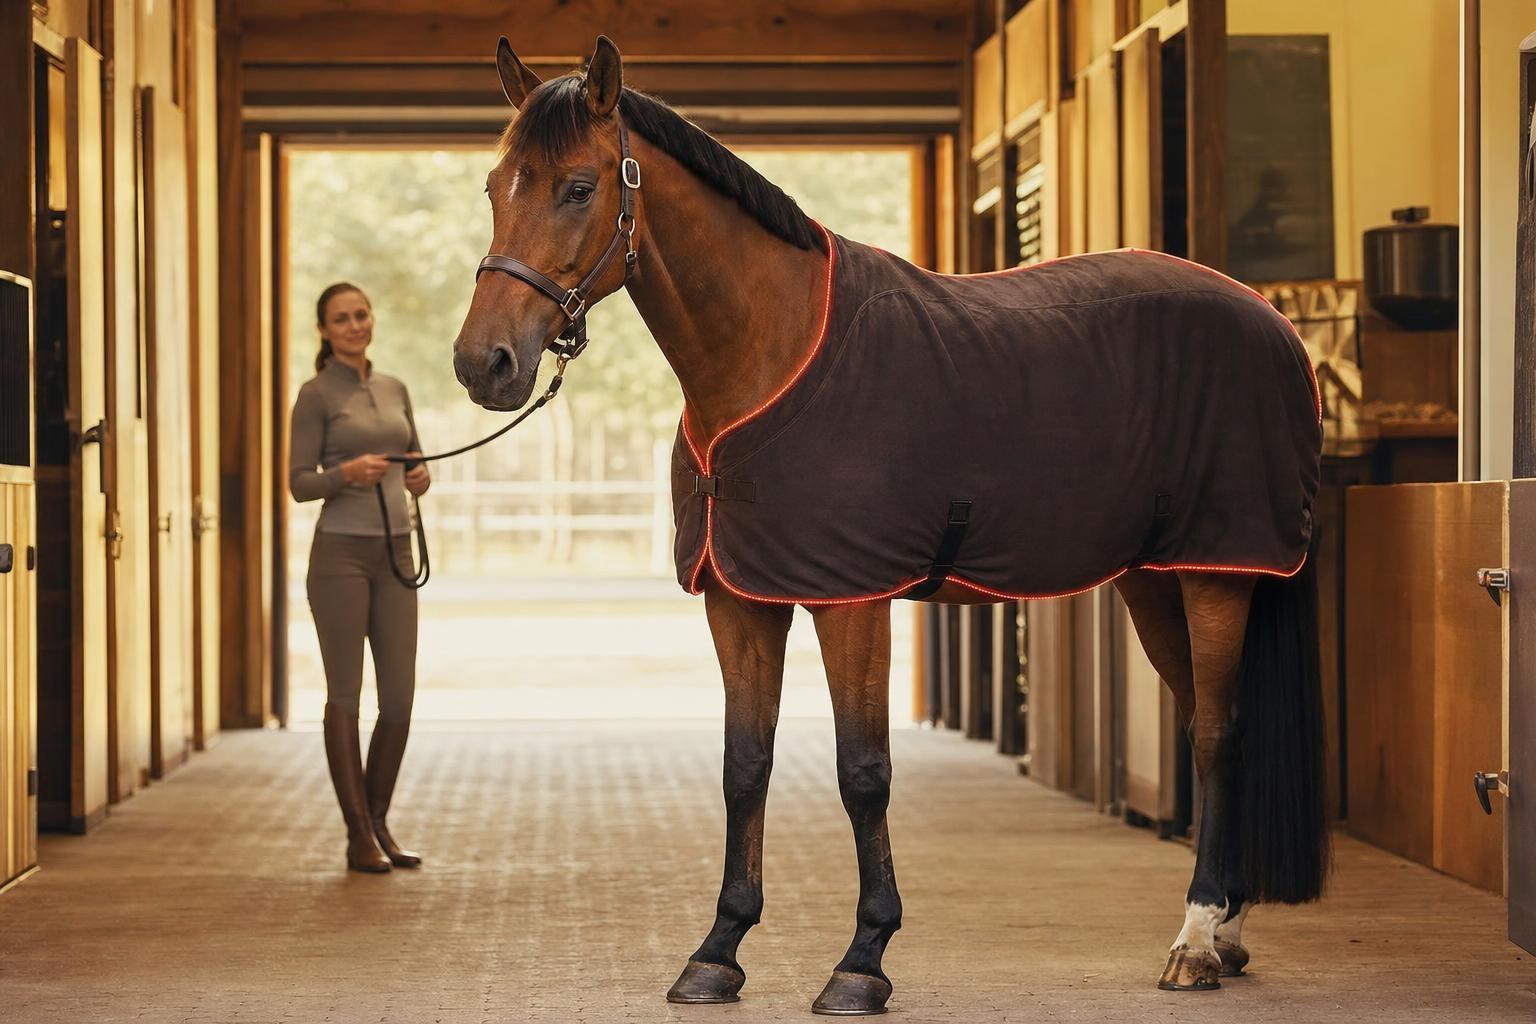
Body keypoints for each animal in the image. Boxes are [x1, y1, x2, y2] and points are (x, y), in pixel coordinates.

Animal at [451, 35, 1330, 1017]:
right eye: (494, 186)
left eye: (576, 187)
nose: (484, 363)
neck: (770, 354)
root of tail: (1273, 323)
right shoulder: (740, 599)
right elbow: (744, 764)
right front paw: (718, 951)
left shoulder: (852, 600)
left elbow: (862, 771)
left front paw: (862, 958)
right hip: (1155, 579)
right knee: (1198, 723)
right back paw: (1228, 931)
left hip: (1220, 572)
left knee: (1219, 735)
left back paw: (1197, 940)